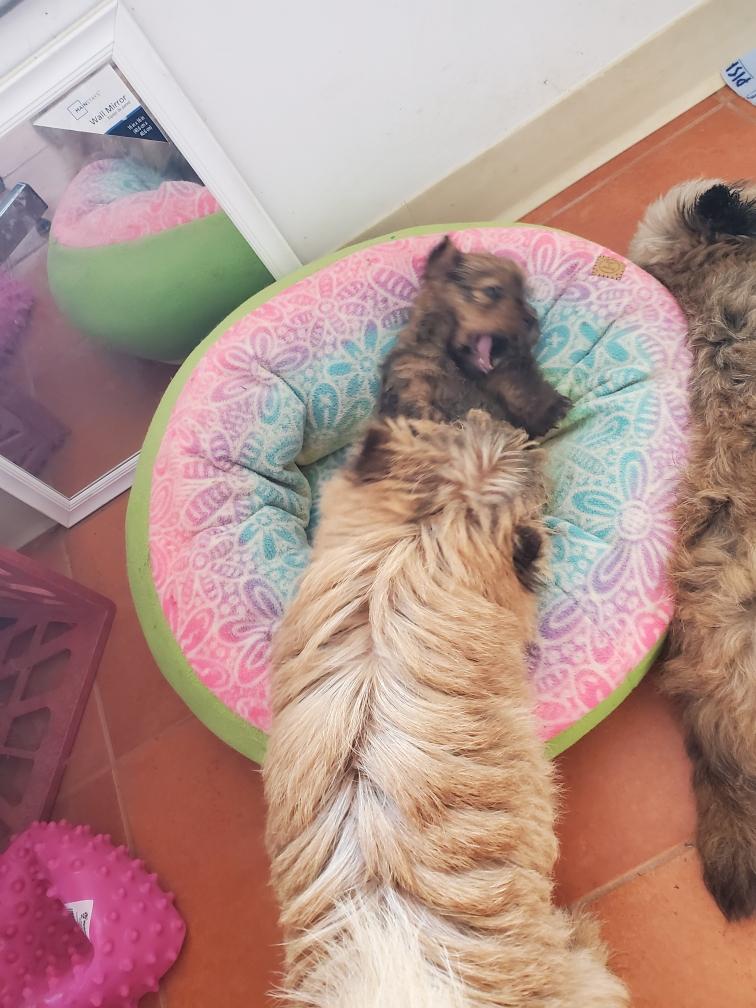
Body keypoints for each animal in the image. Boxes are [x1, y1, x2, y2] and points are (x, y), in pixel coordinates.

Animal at [379, 237, 570, 437]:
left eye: (523, 297)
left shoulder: (509, 374)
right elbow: (419, 407)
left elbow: (521, 389)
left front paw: (549, 407)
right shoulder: (412, 377)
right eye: (492, 290)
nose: (533, 320)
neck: (457, 365)